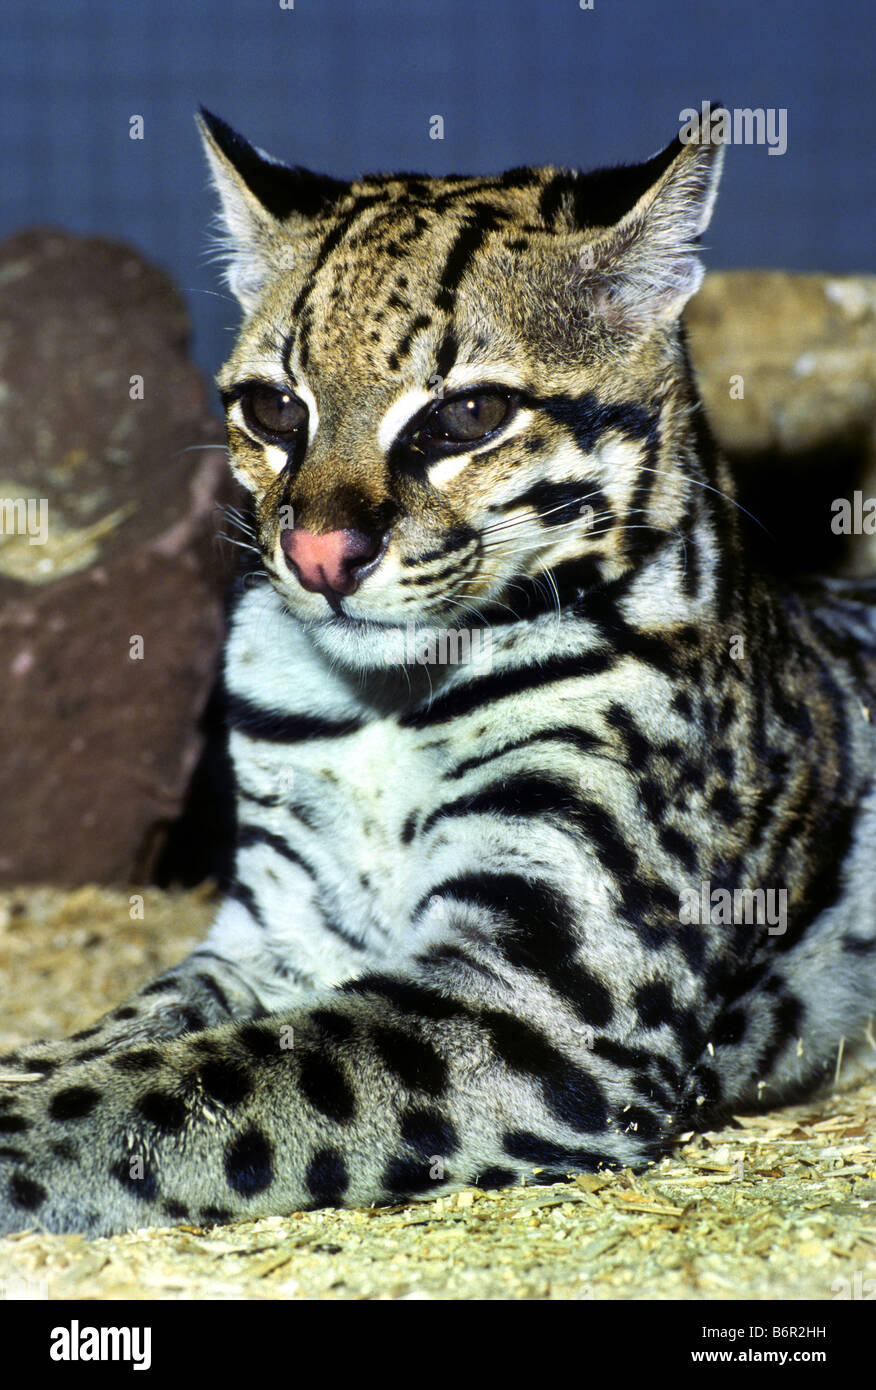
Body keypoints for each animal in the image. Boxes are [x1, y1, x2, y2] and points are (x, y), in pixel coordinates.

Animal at [1, 111, 876, 1239]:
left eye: (466, 417)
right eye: (274, 409)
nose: (318, 555)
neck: (381, 706)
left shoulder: (547, 998)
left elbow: (203, 1076)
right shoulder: (274, 930)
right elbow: (143, 1022)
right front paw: (33, 1058)